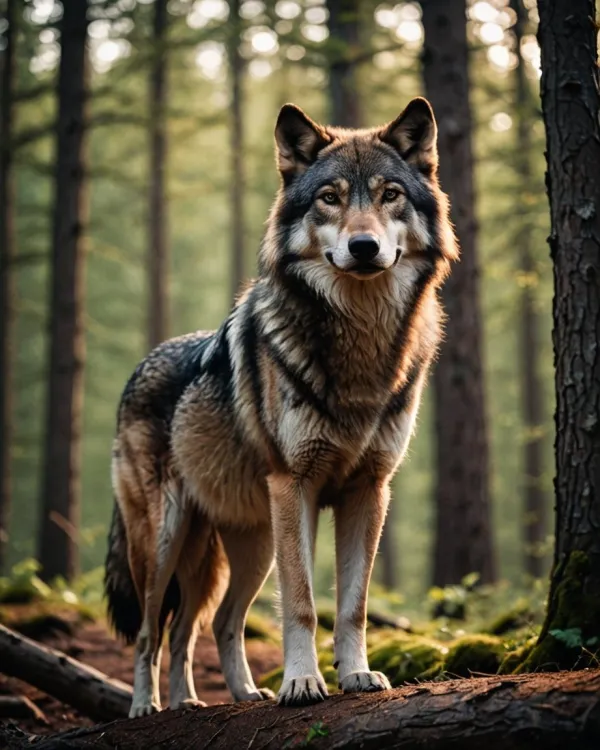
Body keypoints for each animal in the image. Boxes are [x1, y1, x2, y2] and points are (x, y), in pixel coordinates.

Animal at [105, 97, 457, 716]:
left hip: (249, 546)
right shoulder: (295, 486)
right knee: (152, 630)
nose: (363, 247)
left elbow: (352, 604)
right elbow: (302, 603)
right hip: (167, 539)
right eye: (330, 198)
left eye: (390, 194)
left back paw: (219, 697)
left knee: (206, 623)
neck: (359, 349)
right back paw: (148, 706)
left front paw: (357, 675)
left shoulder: (369, 491)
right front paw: (302, 684)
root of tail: (139, 366)